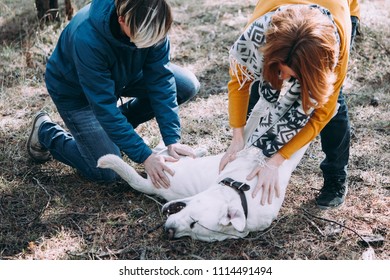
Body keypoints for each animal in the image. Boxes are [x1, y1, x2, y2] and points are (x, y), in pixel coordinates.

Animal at [96, 143, 308, 242]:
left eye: (193, 232)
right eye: (193, 221)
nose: (169, 233)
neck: (241, 193)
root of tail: (151, 185)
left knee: (161, 152)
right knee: (161, 151)